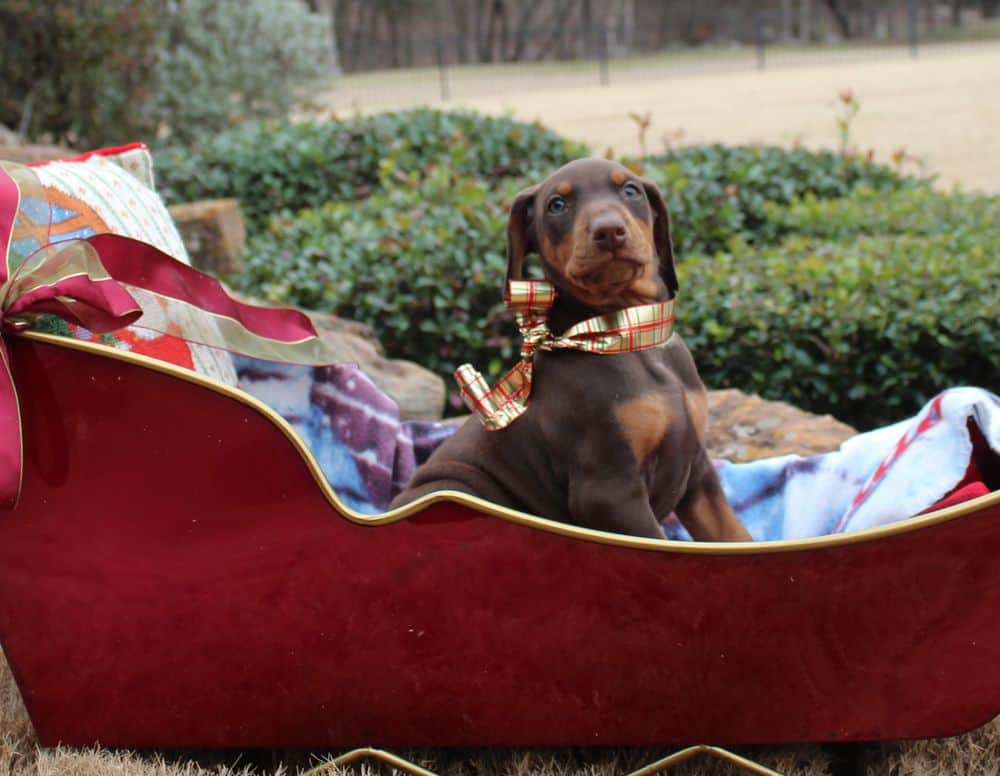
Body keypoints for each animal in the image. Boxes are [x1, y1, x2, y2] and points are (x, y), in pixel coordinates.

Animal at [390, 157, 752, 540]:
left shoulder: (697, 473)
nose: (609, 231)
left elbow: (733, 536)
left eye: (630, 190)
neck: (628, 332)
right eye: (557, 205)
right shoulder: (609, 490)